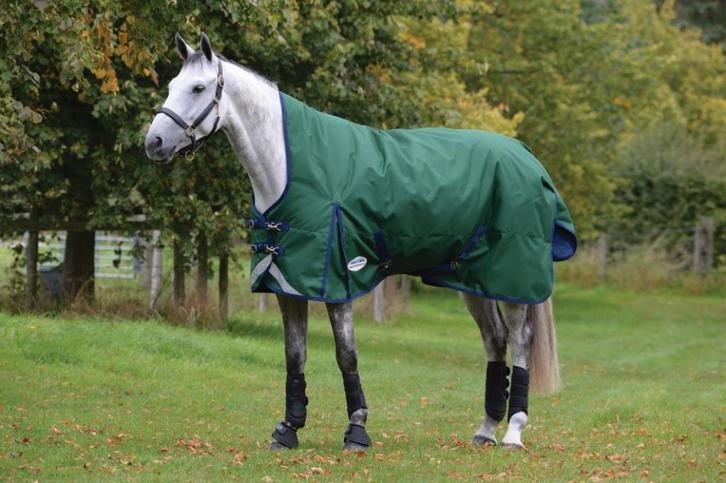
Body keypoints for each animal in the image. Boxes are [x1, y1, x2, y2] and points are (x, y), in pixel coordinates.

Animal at [144, 33, 576, 451]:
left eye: (198, 87)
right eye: (171, 86)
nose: (154, 143)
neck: (289, 169)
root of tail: (526, 156)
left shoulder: (340, 282)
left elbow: (346, 356)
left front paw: (356, 430)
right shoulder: (287, 284)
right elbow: (294, 356)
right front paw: (289, 430)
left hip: (512, 279)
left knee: (519, 341)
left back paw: (513, 433)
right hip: (473, 280)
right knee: (495, 340)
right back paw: (485, 430)